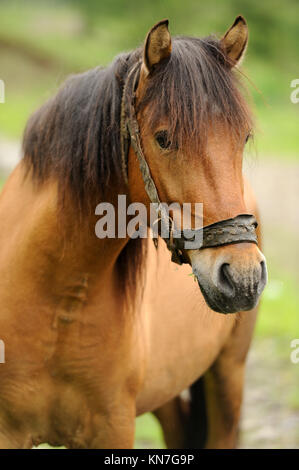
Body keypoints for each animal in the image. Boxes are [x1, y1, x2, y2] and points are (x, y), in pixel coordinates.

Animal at [0, 15, 268, 448]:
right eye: (163, 138)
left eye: (243, 137)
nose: (243, 277)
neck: (58, 300)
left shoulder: (113, 427)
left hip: (229, 375)